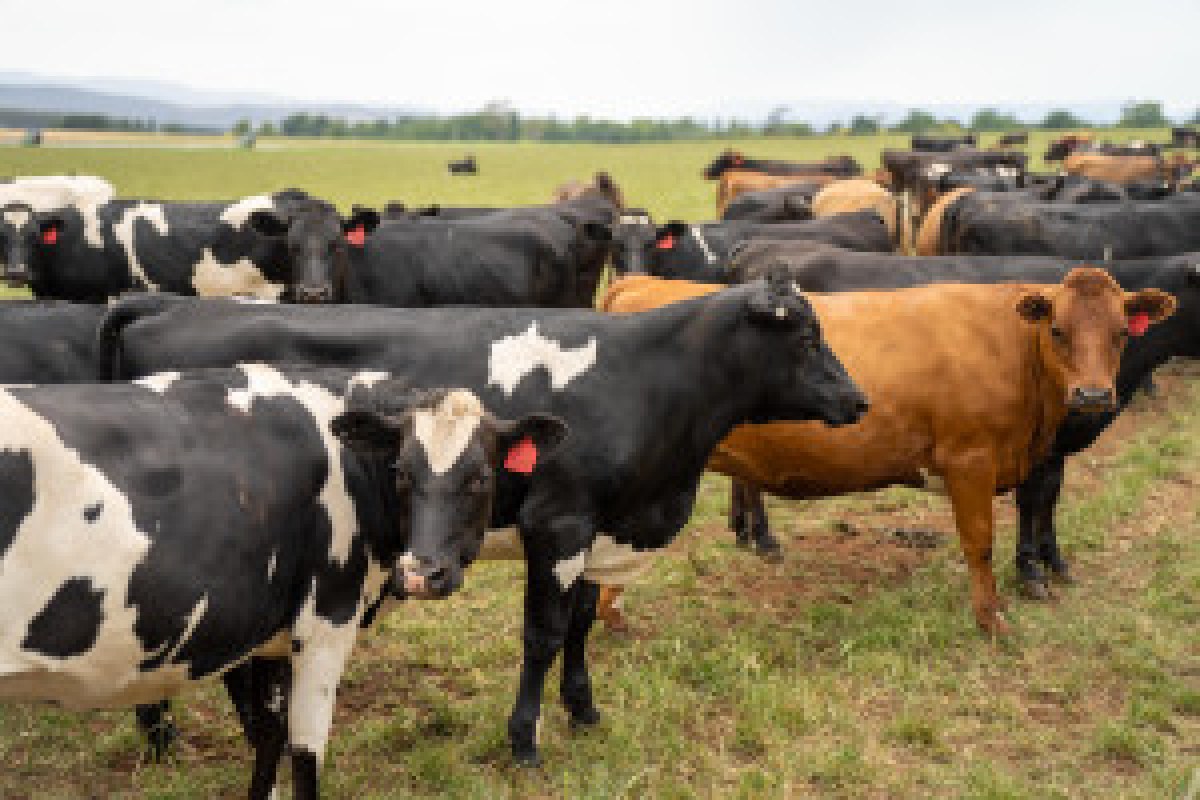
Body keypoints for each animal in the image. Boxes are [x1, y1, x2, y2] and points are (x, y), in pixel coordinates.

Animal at [0, 363, 566, 797]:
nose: (421, 573)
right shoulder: (326, 623)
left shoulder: (271, 638)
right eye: (403, 472)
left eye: (481, 477)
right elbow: (304, 755)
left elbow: (268, 737)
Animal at [94, 280, 868, 766]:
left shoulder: (595, 531)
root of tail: (162, 302)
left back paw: (168, 733)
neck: (645, 375)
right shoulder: (558, 522)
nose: (858, 400)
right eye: (807, 338)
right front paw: (524, 740)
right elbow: (544, 634)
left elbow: (580, 623)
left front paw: (583, 711)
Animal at [599, 269, 1175, 633]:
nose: (1093, 395)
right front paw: (991, 620)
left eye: (1121, 333)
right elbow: (979, 543)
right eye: (1057, 330)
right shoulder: (969, 461)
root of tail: (642, 282)